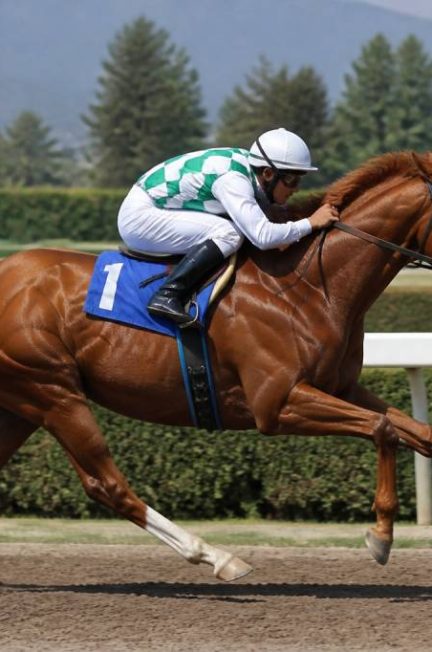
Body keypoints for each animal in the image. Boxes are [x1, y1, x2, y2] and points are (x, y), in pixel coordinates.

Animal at [0, 150, 432, 582]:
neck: (308, 286)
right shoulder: (276, 403)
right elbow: (382, 429)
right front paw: (381, 534)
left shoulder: (339, 387)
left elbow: (416, 432)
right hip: (53, 392)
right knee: (106, 484)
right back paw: (216, 555)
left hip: (22, 405)